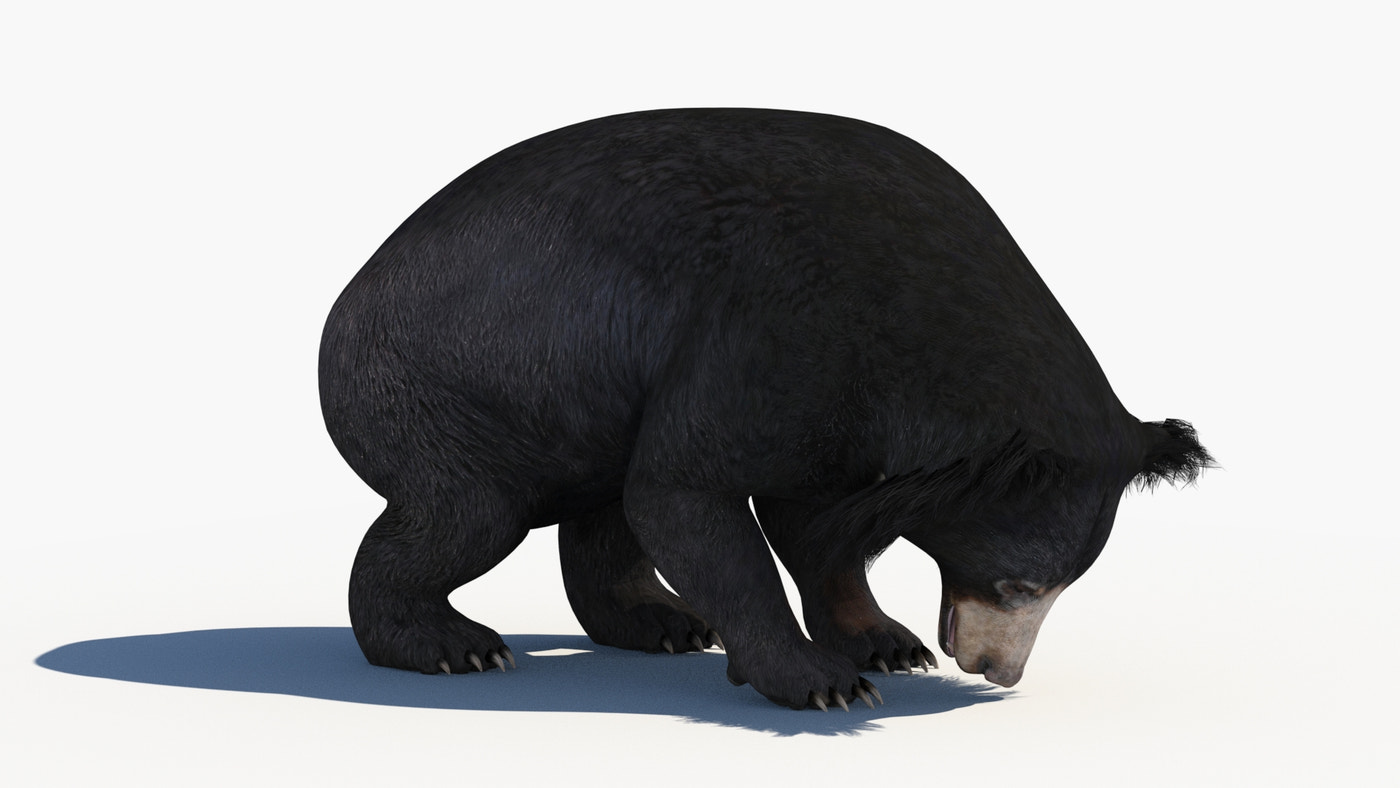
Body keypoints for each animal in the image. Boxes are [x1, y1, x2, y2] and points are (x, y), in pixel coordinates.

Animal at [318, 108, 1211, 711]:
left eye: (1065, 583)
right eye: (1020, 582)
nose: (998, 669)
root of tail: (347, 298)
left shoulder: (845, 419)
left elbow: (813, 525)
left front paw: (885, 642)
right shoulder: (776, 334)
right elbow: (691, 495)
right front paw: (823, 683)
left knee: (604, 509)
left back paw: (660, 621)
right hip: (454, 384)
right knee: (466, 514)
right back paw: (451, 645)